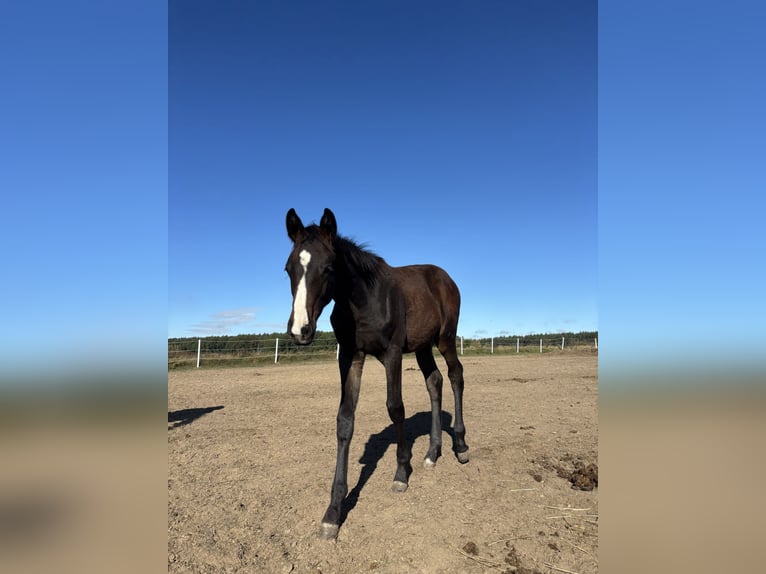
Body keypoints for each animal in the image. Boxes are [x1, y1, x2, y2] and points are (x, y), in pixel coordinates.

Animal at [284, 207, 469, 540]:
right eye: (288, 268)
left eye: (328, 268)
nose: (299, 331)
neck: (362, 300)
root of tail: (445, 278)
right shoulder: (350, 356)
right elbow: (345, 420)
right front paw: (333, 511)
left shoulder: (391, 353)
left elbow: (395, 408)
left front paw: (401, 472)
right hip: (422, 346)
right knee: (434, 382)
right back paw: (432, 452)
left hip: (445, 339)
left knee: (455, 375)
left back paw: (460, 446)